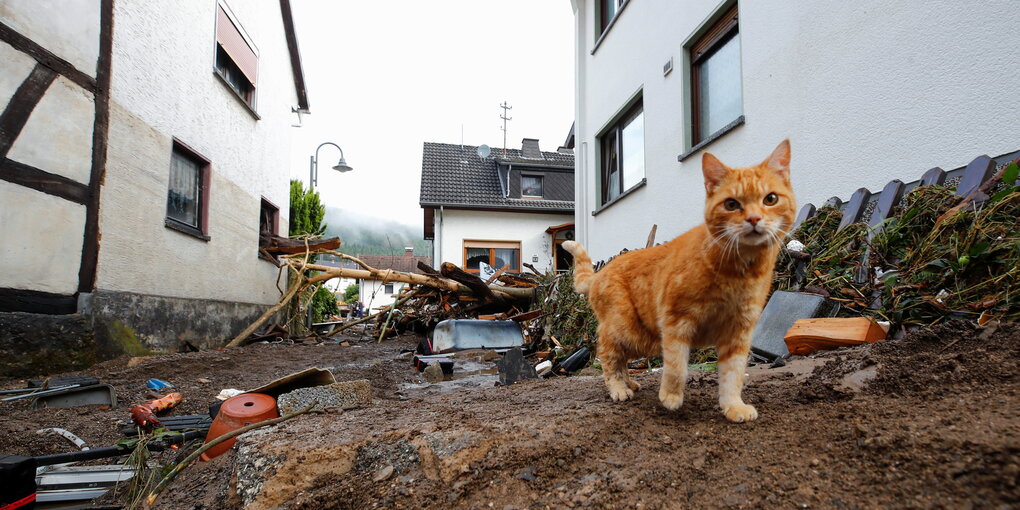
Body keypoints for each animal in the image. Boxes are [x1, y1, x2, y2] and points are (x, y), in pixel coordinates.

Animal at [567, 138, 795, 422]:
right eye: (731, 204)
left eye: (770, 199)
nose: (754, 219)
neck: (738, 271)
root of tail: (600, 272)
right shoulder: (677, 321)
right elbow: (676, 367)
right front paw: (671, 397)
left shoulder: (738, 332)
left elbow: (733, 375)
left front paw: (733, 406)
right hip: (625, 328)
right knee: (608, 355)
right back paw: (618, 388)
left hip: (641, 338)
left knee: (621, 359)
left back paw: (629, 382)